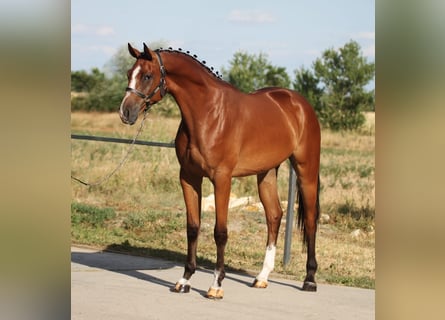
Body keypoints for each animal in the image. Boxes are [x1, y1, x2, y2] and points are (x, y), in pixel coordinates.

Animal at [118, 43, 320, 300]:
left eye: (146, 75)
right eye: (128, 73)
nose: (125, 112)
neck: (208, 114)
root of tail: (299, 104)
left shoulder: (222, 179)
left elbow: (220, 232)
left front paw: (216, 285)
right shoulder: (189, 178)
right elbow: (193, 228)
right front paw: (184, 280)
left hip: (306, 169)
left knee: (311, 220)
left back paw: (309, 279)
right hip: (266, 173)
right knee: (274, 215)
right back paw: (262, 277)